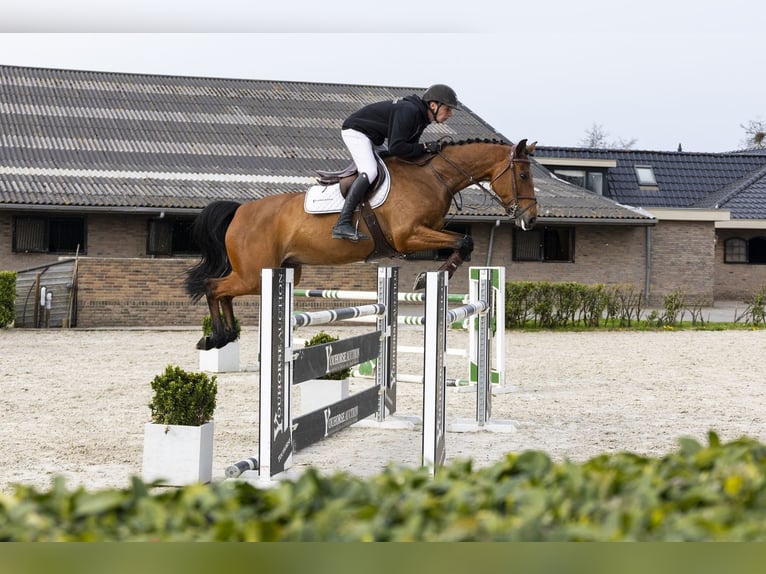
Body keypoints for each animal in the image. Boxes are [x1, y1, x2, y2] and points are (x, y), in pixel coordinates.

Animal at [185, 138, 537, 350]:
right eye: (522, 176)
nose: (530, 220)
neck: (433, 176)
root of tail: (240, 209)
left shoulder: (426, 232)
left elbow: (462, 243)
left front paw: (430, 277)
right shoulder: (408, 236)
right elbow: (464, 241)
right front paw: (426, 279)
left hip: (280, 271)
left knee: (223, 291)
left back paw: (226, 335)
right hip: (254, 272)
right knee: (214, 287)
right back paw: (217, 337)